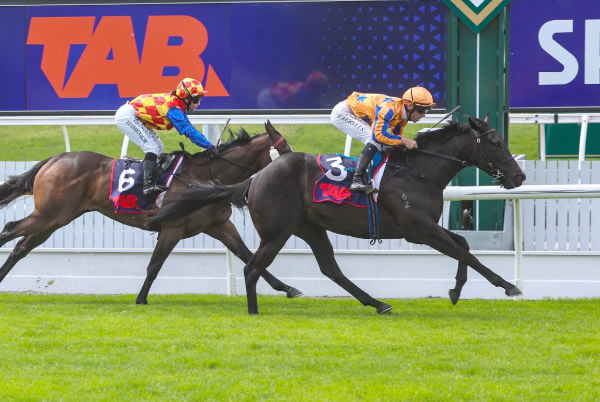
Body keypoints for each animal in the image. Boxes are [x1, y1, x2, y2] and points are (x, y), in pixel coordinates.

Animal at [0, 121, 300, 304]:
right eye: (285, 148)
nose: (298, 166)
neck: (205, 178)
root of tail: (53, 159)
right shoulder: (172, 228)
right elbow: (155, 265)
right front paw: (141, 299)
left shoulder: (220, 226)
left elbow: (248, 256)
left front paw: (288, 288)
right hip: (49, 215)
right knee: (9, 229)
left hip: (54, 219)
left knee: (20, 247)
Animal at [149, 115, 524, 314]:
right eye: (495, 142)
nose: (519, 177)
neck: (419, 171)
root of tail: (256, 177)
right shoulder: (419, 228)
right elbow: (465, 251)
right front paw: (508, 286)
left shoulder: (427, 227)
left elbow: (464, 245)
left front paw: (457, 290)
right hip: (278, 231)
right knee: (252, 267)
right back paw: (254, 311)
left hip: (310, 227)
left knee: (330, 268)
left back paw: (377, 303)